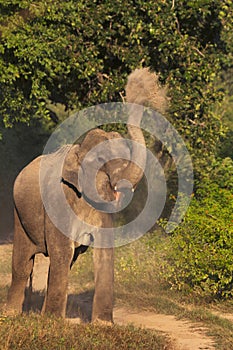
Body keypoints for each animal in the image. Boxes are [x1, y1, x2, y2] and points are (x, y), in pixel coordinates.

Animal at [5, 67, 167, 324]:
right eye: (101, 160)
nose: (143, 81)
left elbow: (104, 253)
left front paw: (103, 324)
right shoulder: (59, 200)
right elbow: (61, 250)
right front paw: (54, 322)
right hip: (19, 214)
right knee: (23, 265)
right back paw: (12, 313)